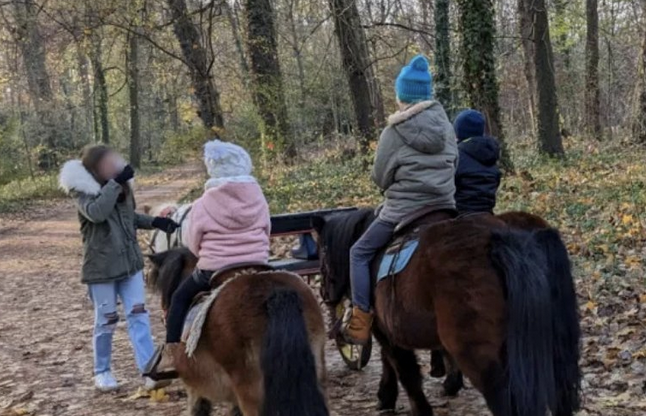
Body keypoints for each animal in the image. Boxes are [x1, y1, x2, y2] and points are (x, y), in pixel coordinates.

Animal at [316, 210, 584, 416]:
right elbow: (390, 364)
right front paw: (386, 397)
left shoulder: (386, 333)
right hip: (553, 351)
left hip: (479, 356)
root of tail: (503, 236)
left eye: (321, 253)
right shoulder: (388, 333)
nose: (324, 294)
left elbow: (406, 373)